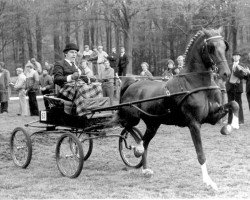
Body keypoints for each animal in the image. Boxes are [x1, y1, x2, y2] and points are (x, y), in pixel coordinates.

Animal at [114, 27, 239, 190]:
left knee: (145, 141)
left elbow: (234, 104)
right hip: (133, 118)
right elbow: (200, 153)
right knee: (126, 127)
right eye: (211, 48)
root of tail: (132, 83)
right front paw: (208, 181)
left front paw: (230, 126)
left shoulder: (212, 117)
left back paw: (145, 168)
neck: (196, 83)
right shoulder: (194, 124)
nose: (226, 73)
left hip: (153, 124)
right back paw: (137, 148)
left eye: (224, 46)